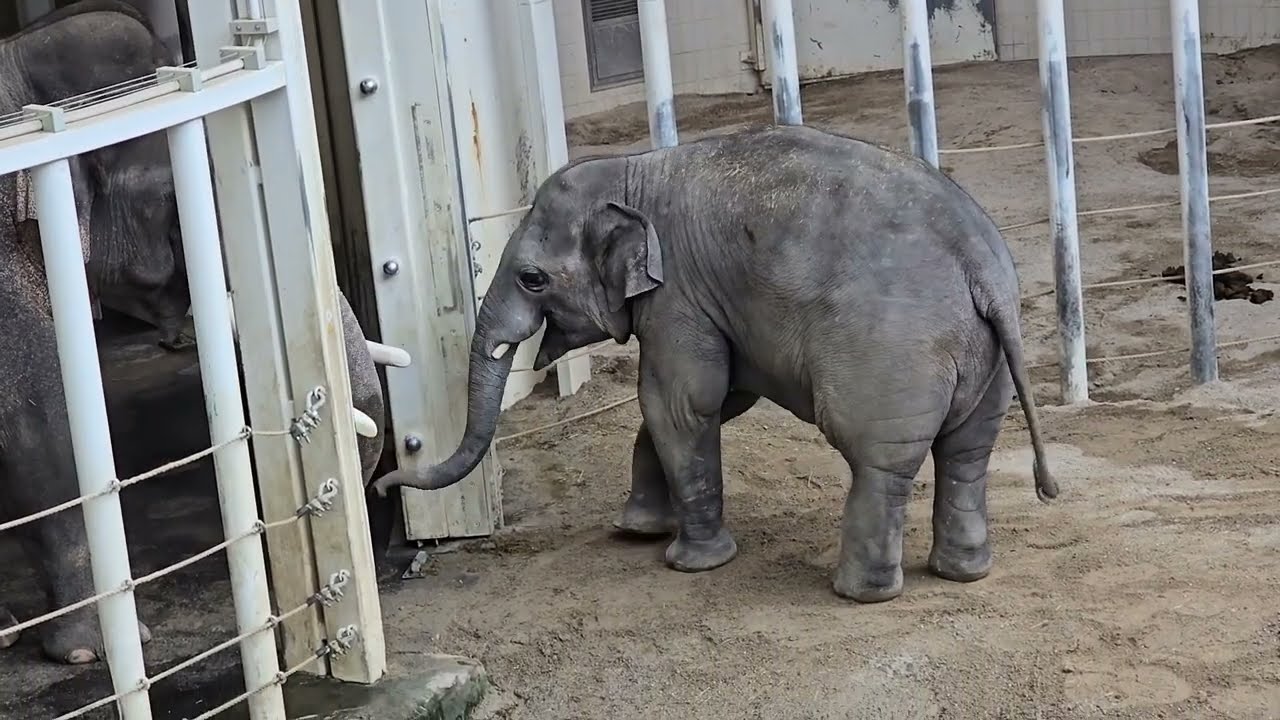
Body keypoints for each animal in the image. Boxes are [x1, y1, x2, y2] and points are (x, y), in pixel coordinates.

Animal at [371, 124, 1058, 603]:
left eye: (532, 279)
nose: (381, 483)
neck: (635, 170)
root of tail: (982, 266)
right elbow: (715, 399)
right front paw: (636, 531)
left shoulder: (679, 293)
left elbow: (678, 402)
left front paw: (690, 562)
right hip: (991, 360)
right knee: (966, 455)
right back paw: (964, 573)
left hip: (891, 356)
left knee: (878, 462)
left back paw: (860, 595)